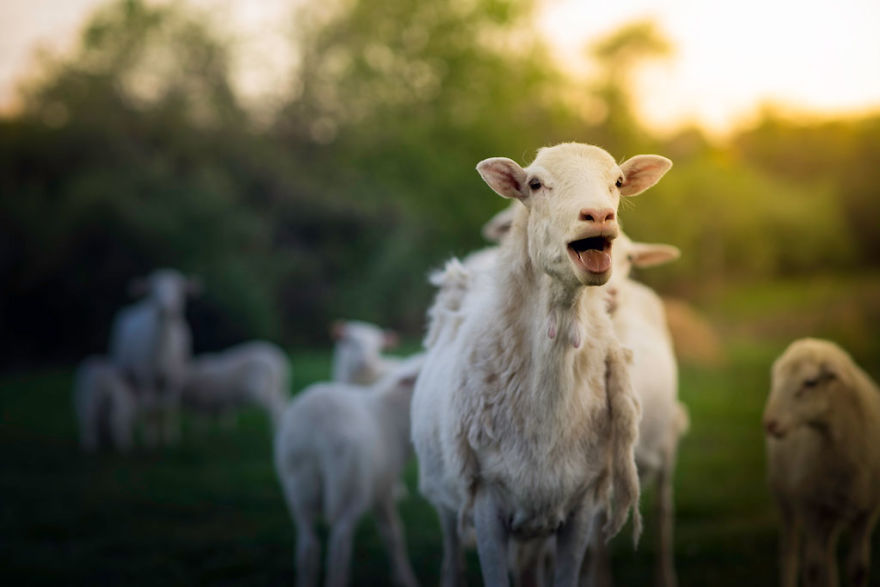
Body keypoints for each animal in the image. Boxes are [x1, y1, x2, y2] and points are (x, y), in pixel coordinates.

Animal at [108, 268, 199, 448]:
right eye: (153, 289)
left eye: (179, 288)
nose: (165, 308)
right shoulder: (145, 375)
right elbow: (149, 406)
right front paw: (150, 440)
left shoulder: (175, 377)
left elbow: (170, 406)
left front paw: (171, 439)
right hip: (127, 372)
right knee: (139, 403)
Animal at [276, 354, 424, 587]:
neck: (392, 414)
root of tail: (315, 428)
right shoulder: (383, 487)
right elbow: (393, 534)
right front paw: (405, 578)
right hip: (350, 486)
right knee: (339, 546)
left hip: (298, 488)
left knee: (307, 547)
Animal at [410, 144, 672, 587]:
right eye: (534, 184)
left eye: (618, 182)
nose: (598, 215)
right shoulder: (486, 503)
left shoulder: (580, 505)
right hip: (447, 498)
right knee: (452, 559)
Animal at [764, 338, 880, 587]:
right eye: (777, 380)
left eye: (810, 382)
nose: (769, 423)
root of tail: (813, 340)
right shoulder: (810, 507)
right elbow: (813, 570)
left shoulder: (867, 512)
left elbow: (858, 569)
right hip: (784, 496)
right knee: (791, 551)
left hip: (832, 509)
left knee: (828, 553)